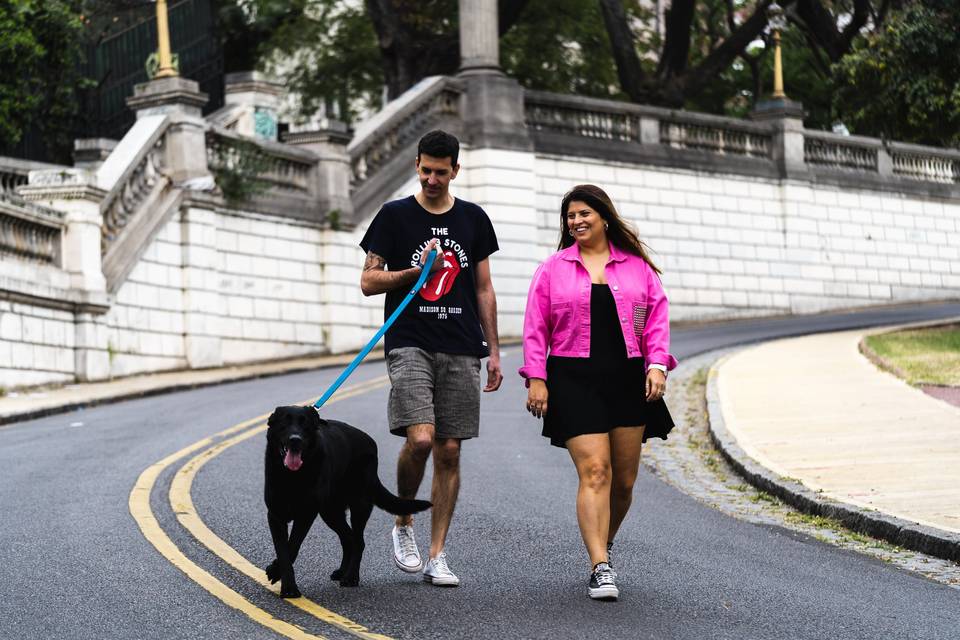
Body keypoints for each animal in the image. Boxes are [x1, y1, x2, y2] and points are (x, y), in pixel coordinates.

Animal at [262, 404, 428, 596]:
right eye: (284, 423)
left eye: (305, 425)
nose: (295, 440)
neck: (292, 476)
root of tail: (371, 443)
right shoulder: (275, 515)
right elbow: (283, 550)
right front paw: (284, 581)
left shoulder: (306, 514)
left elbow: (292, 547)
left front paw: (280, 578)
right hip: (331, 512)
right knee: (348, 539)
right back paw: (342, 571)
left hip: (358, 507)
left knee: (358, 541)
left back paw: (351, 577)